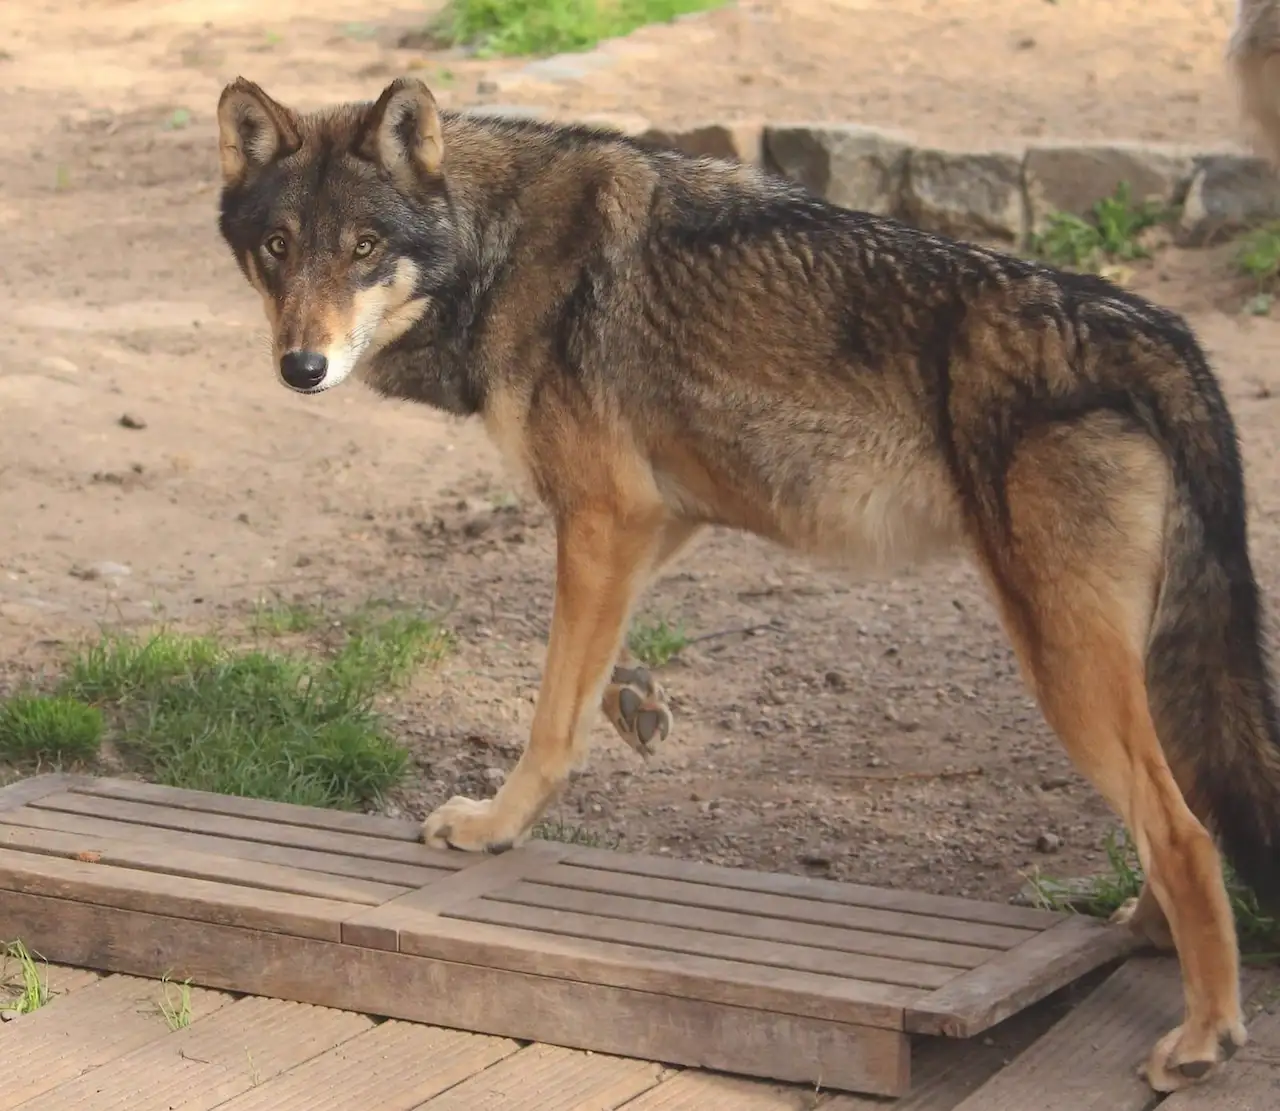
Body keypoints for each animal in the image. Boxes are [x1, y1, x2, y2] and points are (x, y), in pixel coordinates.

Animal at [215, 73, 1280, 1090]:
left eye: (362, 246)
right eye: (278, 246)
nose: (302, 365)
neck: (498, 246)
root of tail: (1158, 332)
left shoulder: (603, 513)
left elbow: (551, 711)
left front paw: (494, 826)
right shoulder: (659, 513)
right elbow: (587, 670)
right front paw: (635, 699)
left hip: (1063, 662)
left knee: (1184, 830)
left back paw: (1202, 1036)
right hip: (1131, 660)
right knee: (1186, 808)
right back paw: (1143, 936)